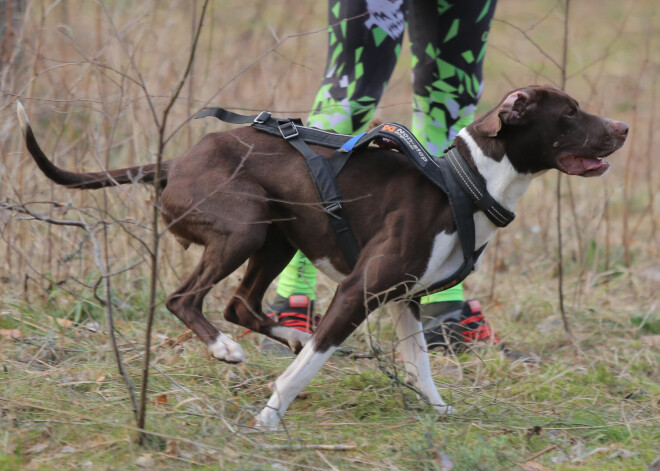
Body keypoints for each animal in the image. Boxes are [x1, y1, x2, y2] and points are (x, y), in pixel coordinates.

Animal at [16, 85, 628, 428]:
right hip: (245, 227)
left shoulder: (403, 301)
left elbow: (420, 366)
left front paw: (440, 414)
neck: (465, 184)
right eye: (570, 113)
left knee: (240, 304)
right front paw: (268, 419)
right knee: (185, 298)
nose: (623, 127)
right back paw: (226, 348)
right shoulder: (357, 292)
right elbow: (307, 369)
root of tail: (174, 162)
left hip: (277, 238)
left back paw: (284, 335)